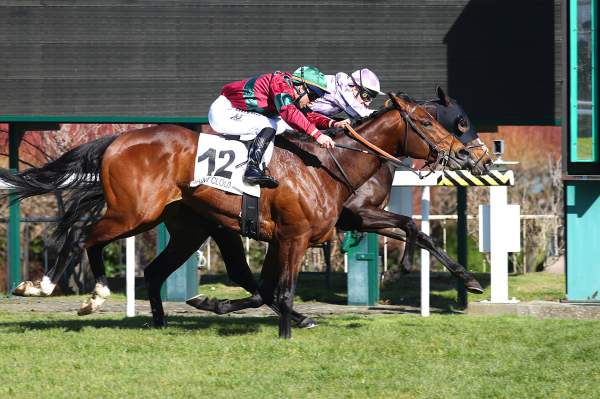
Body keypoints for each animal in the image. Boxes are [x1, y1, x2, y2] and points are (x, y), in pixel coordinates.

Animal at [3, 93, 482, 338]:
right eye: (434, 122)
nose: (467, 156)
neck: (328, 164)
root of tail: (117, 140)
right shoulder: (298, 235)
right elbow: (279, 289)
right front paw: (288, 330)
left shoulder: (319, 228)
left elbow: (415, 229)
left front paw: (469, 279)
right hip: (135, 213)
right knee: (81, 234)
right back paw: (56, 287)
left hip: (184, 228)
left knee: (151, 267)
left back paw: (151, 316)